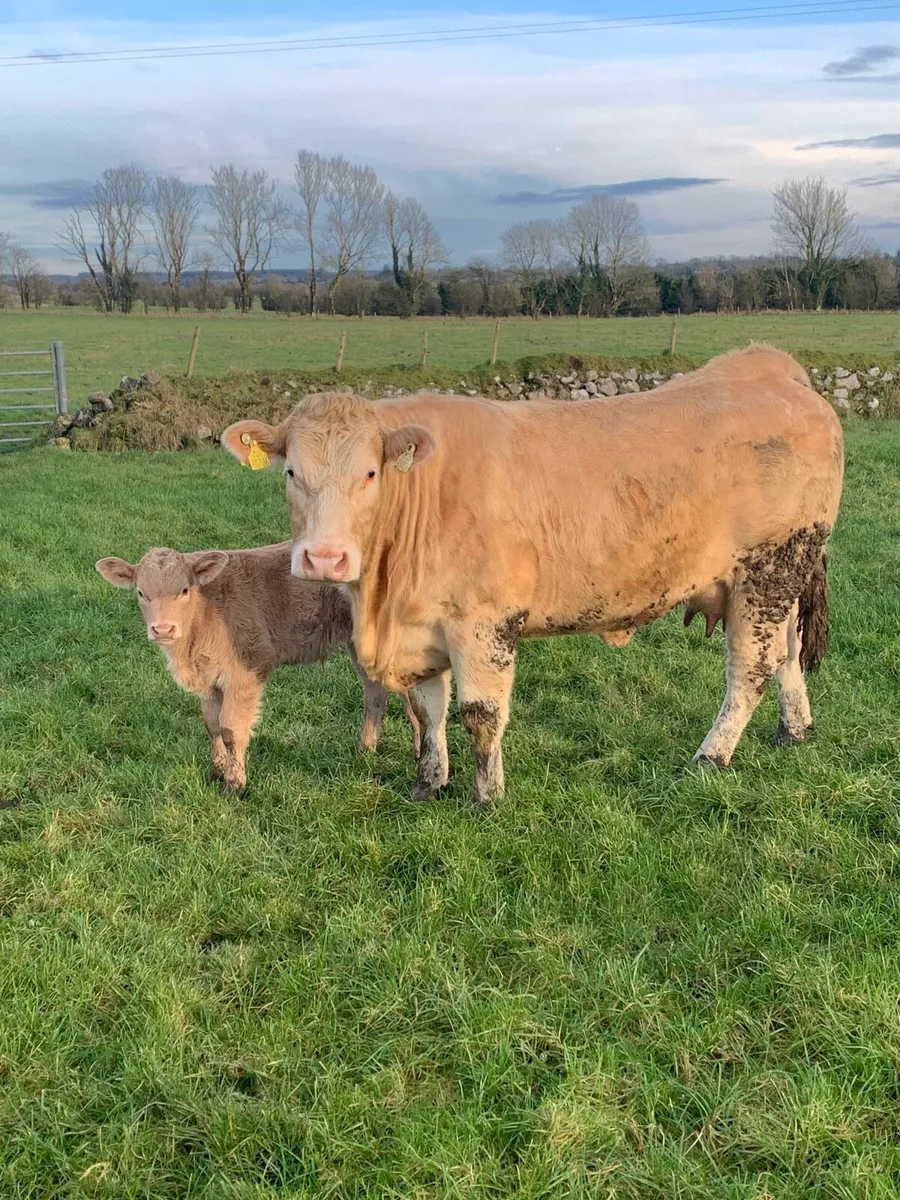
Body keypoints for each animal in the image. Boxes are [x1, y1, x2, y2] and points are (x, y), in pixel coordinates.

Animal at [95, 542, 419, 792]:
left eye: (184, 590)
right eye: (141, 593)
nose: (163, 629)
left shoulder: (246, 672)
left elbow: (230, 729)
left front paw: (235, 784)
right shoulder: (209, 680)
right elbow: (211, 724)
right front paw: (217, 771)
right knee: (375, 694)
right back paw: (366, 751)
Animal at [221, 345, 844, 807]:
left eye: (370, 473)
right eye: (292, 472)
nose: (325, 559)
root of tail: (769, 367)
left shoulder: (485, 623)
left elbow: (480, 714)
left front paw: (487, 796)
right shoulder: (423, 626)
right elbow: (428, 708)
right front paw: (429, 783)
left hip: (769, 567)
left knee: (752, 666)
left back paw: (710, 757)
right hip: (781, 578)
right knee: (787, 653)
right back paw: (794, 730)